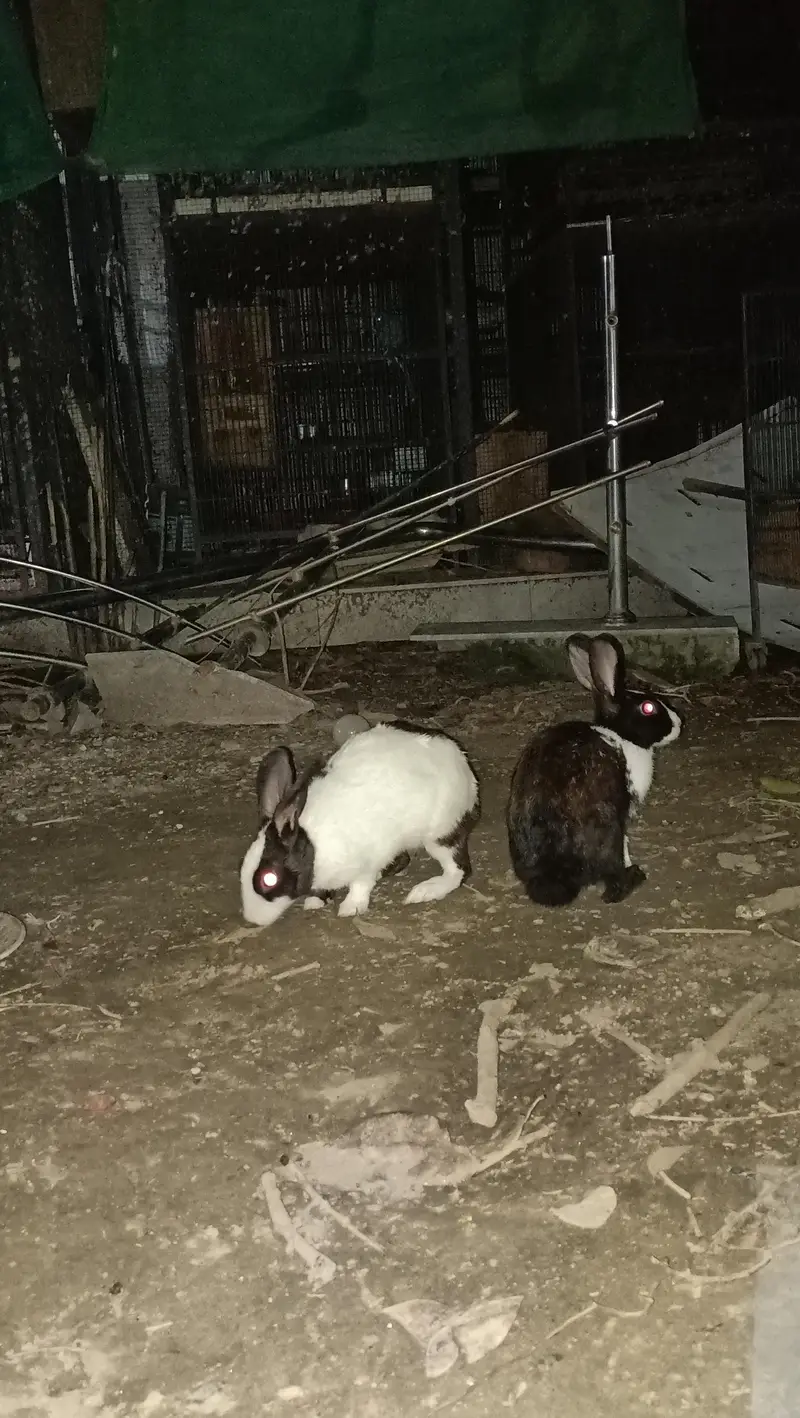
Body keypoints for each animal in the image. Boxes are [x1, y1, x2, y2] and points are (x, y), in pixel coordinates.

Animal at [240, 721, 480, 927]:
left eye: (269, 879)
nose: (253, 920)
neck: (314, 846)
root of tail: (461, 761)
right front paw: (316, 901)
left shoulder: (371, 858)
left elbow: (361, 884)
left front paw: (351, 907)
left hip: (440, 835)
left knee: (457, 870)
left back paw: (425, 891)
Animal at [506, 633, 683, 907]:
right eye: (648, 708)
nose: (678, 724)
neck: (621, 735)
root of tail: (556, 875)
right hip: (608, 826)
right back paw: (633, 876)